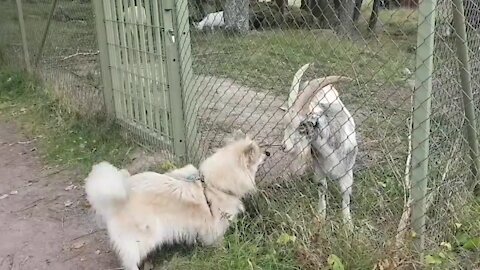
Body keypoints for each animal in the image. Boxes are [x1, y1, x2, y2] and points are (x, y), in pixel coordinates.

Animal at [86, 130, 266, 268]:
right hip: (143, 236)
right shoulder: (216, 226)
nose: (269, 153)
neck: (213, 184)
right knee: (130, 258)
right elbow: (217, 242)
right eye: (259, 153)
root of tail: (117, 198)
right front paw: (221, 252)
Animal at [282, 62, 356, 228]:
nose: (284, 146)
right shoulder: (319, 168)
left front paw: (348, 225)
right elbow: (322, 188)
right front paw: (321, 216)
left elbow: (345, 194)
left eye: (301, 126)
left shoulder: (347, 172)